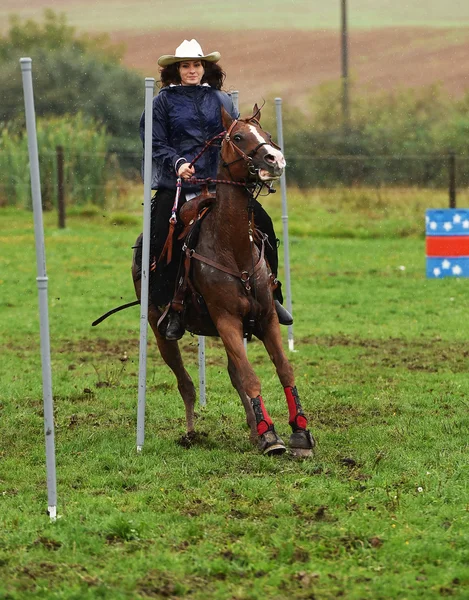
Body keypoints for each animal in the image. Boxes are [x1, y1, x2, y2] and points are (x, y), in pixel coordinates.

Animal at [132, 106, 314, 454]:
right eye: (239, 137)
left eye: (267, 135)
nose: (275, 159)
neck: (233, 250)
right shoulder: (227, 319)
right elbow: (250, 376)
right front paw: (271, 436)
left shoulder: (266, 318)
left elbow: (283, 369)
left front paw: (298, 430)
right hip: (160, 332)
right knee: (185, 382)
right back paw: (192, 431)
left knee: (232, 373)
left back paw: (253, 427)